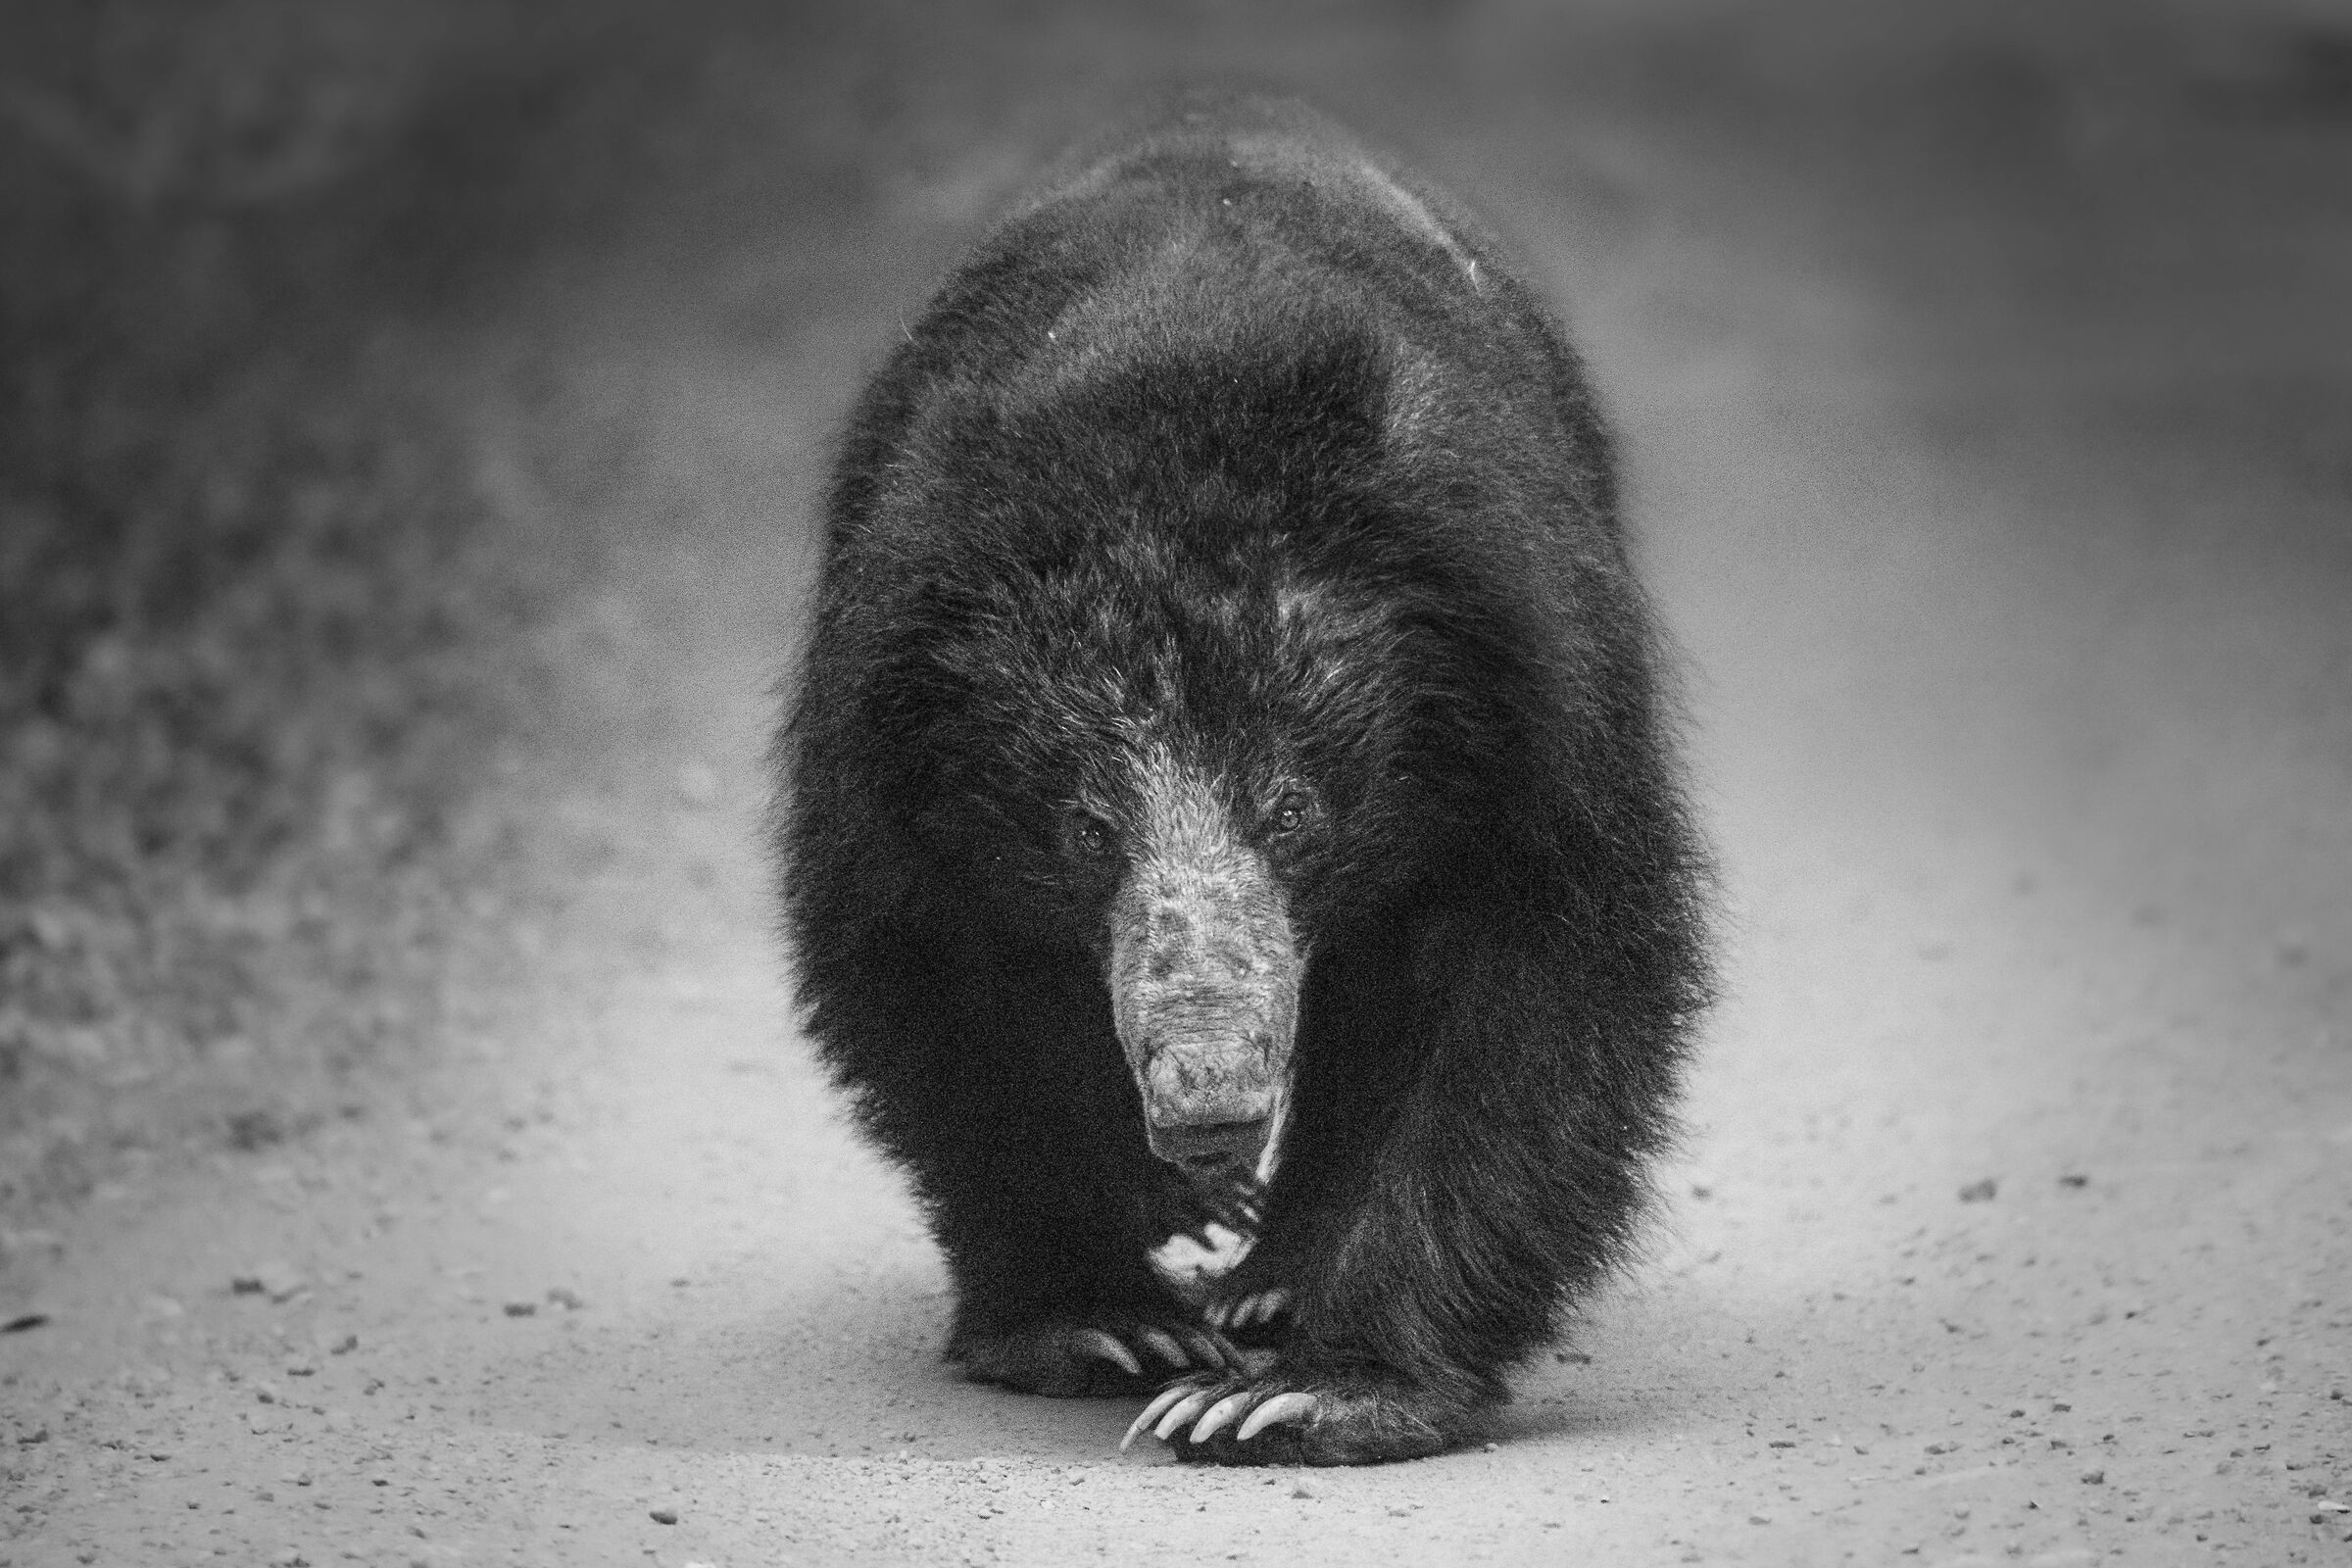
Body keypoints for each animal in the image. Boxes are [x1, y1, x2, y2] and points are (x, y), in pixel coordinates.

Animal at [775, 90, 1711, 1466]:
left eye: (1293, 809)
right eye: (1086, 828)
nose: (1208, 1101)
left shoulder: (1533, 693)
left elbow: (1544, 989)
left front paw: (1301, 1387)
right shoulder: (884, 737)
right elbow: (938, 992)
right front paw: (1111, 1325)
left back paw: (1276, 1275)